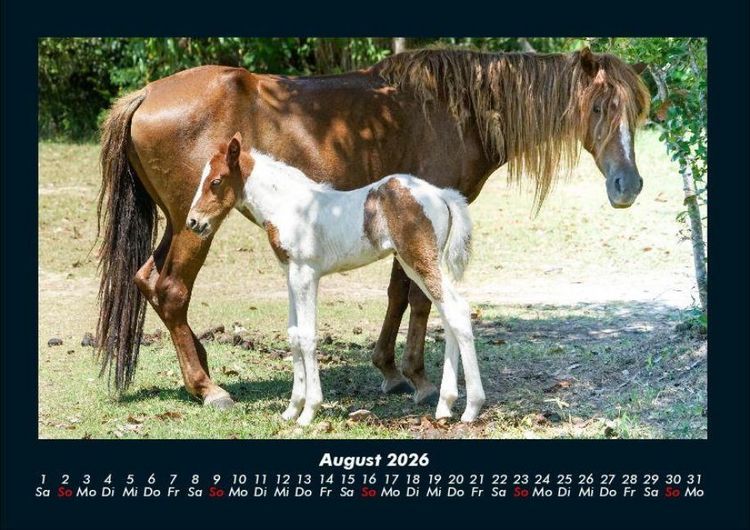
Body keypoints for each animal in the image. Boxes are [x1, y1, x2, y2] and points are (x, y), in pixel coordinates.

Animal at [186, 132, 482, 425]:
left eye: (216, 181)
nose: (193, 222)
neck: (289, 207)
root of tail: (441, 194)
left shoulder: (306, 275)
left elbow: (307, 336)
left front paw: (308, 412)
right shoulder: (291, 275)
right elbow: (294, 334)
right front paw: (291, 410)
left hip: (421, 261)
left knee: (457, 310)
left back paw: (471, 408)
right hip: (414, 265)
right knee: (448, 314)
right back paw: (445, 405)